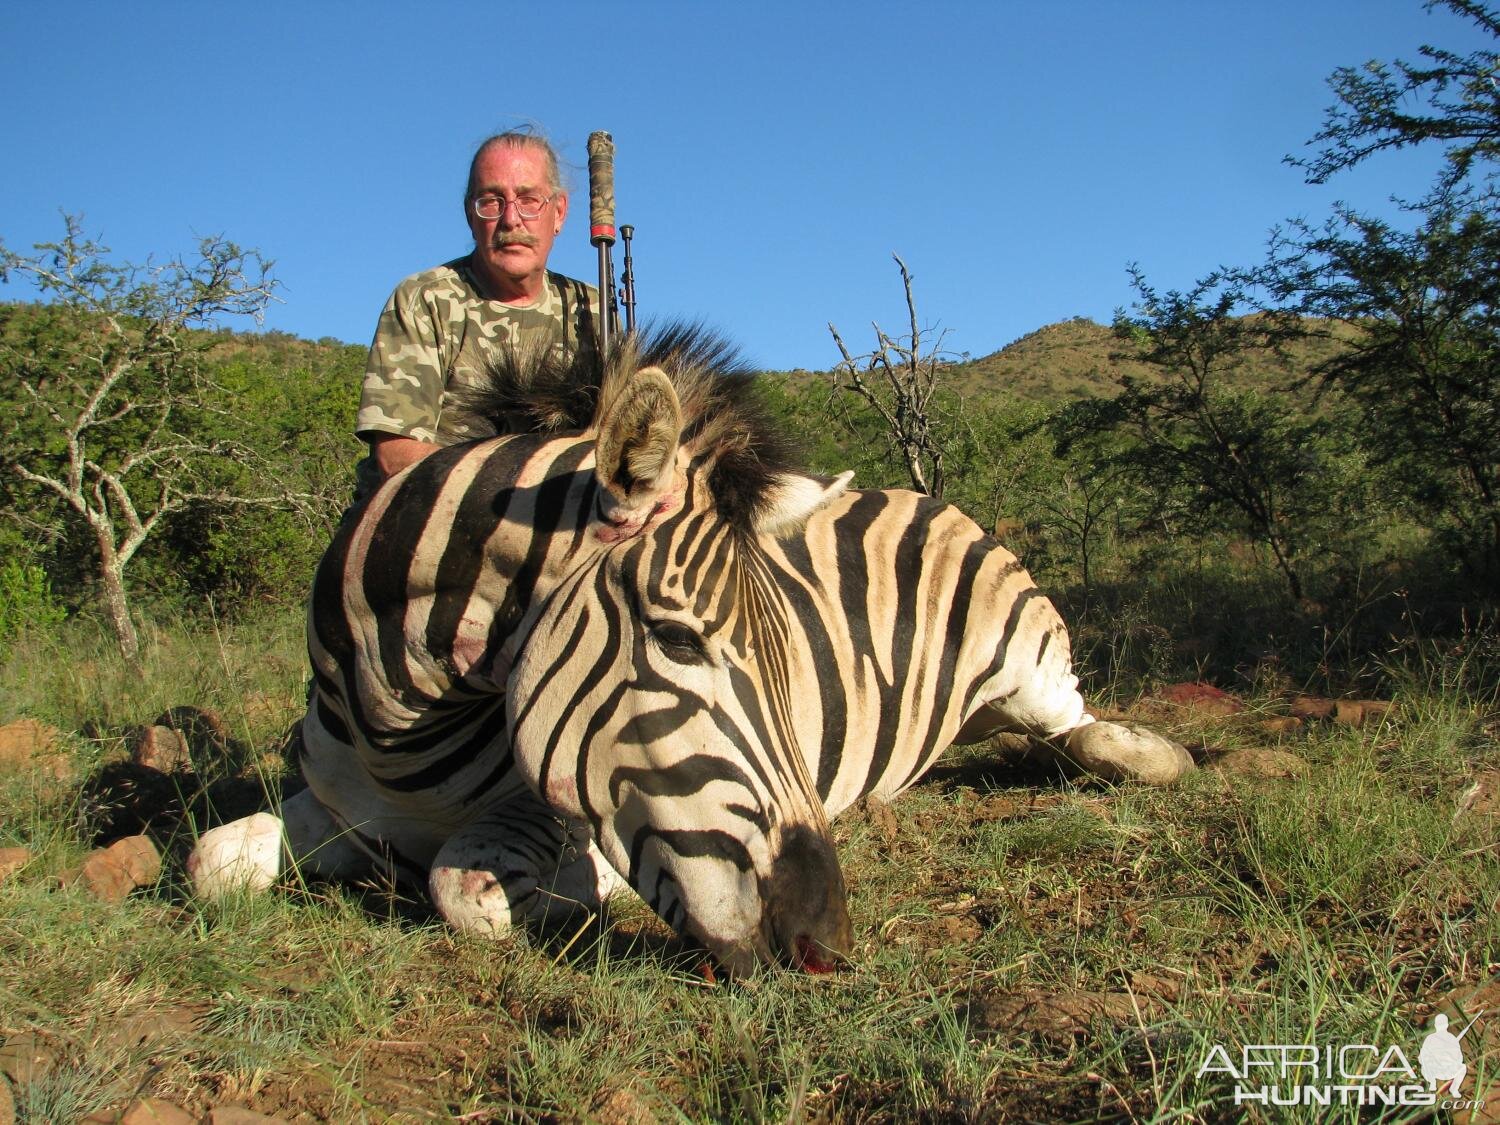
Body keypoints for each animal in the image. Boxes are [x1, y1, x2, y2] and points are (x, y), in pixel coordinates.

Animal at [190, 324, 1194, 978]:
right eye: (675, 637)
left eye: (788, 652)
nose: (827, 945)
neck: (400, 741)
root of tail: (918, 492)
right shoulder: (336, 807)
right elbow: (211, 861)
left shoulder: (554, 812)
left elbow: (465, 890)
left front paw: (583, 893)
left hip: (1031, 664)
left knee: (1083, 728)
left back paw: (1149, 750)